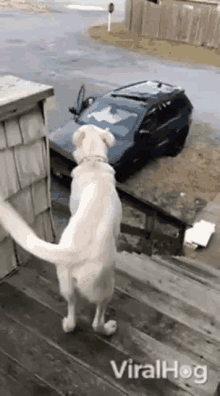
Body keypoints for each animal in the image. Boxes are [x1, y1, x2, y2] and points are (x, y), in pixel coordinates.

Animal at [0, 124, 122, 334]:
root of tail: (74, 252)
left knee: (72, 313)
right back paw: (108, 328)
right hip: (105, 288)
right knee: (97, 321)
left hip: (65, 283)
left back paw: (67, 324)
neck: (93, 163)